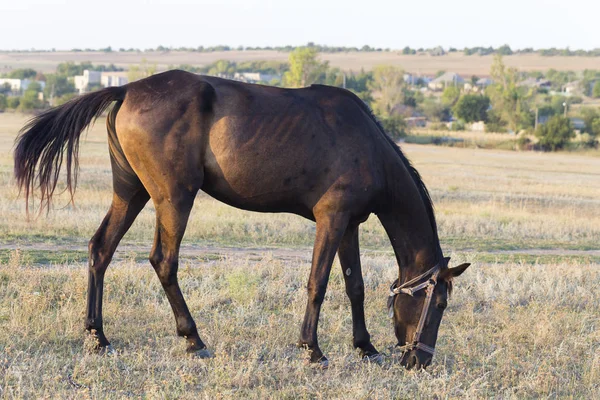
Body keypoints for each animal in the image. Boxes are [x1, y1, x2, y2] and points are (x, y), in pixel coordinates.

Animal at [14, 70, 468, 370]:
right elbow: (318, 284)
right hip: (174, 197)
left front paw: (365, 347)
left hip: (131, 192)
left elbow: (353, 286)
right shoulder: (331, 219)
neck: (367, 143)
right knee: (164, 261)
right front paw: (312, 349)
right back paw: (193, 339)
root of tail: (126, 89)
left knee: (101, 250)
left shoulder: (349, 224)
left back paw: (97, 337)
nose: (420, 362)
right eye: (439, 303)